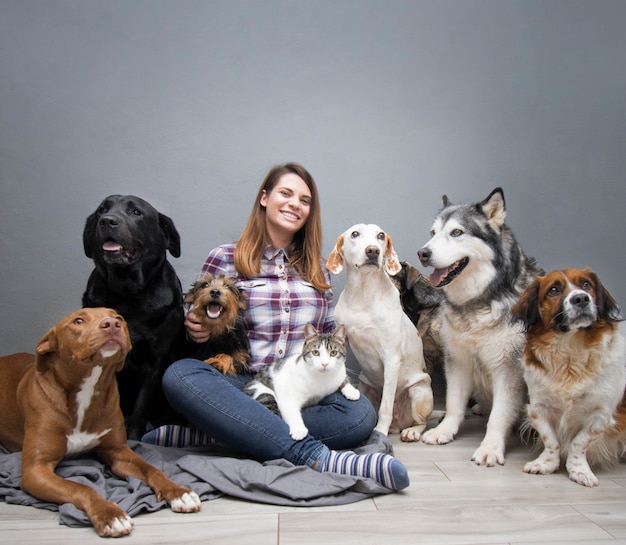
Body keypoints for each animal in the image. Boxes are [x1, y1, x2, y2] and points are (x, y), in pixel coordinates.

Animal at [0, 308, 200, 536]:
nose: (112, 324)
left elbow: (152, 469)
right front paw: (110, 515)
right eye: (78, 321)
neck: (88, 389)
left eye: (118, 317)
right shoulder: (36, 469)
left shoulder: (118, 452)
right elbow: (80, 487)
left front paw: (178, 492)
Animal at [81, 194, 183, 438]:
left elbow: (140, 409)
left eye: (136, 212)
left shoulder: (155, 363)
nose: (107, 221)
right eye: (101, 210)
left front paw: (134, 438)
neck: (127, 296)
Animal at [324, 223, 432, 440]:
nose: (373, 250)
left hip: (420, 392)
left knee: (421, 422)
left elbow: (385, 407)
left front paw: (379, 431)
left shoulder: (391, 358)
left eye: (381, 236)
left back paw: (411, 431)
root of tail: (399, 424)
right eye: (355, 234)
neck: (362, 294)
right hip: (366, 385)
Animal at [416, 187, 540, 464]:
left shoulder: (509, 368)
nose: (423, 253)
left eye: (456, 232)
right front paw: (444, 430)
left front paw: (491, 447)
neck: (476, 303)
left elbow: (500, 414)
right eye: (432, 233)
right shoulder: (457, 359)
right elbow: (453, 403)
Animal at [512, 266, 624, 484]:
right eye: (553, 290)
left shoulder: (601, 415)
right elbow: (550, 440)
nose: (581, 299)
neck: (570, 355)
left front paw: (580, 471)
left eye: (586, 284)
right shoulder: (538, 407)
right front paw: (545, 464)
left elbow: (579, 442)